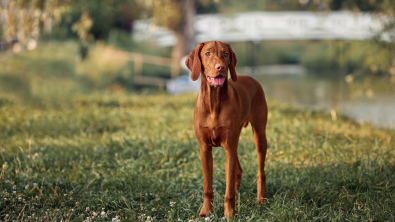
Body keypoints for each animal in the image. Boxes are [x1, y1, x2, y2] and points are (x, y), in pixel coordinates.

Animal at [186, 40, 270, 218]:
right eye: (207, 53)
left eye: (226, 54)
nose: (221, 67)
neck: (214, 101)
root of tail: (251, 78)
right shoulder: (205, 149)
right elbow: (207, 186)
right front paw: (206, 211)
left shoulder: (229, 147)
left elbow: (228, 189)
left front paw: (230, 214)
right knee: (238, 170)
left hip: (259, 136)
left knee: (261, 172)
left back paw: (260, 200)